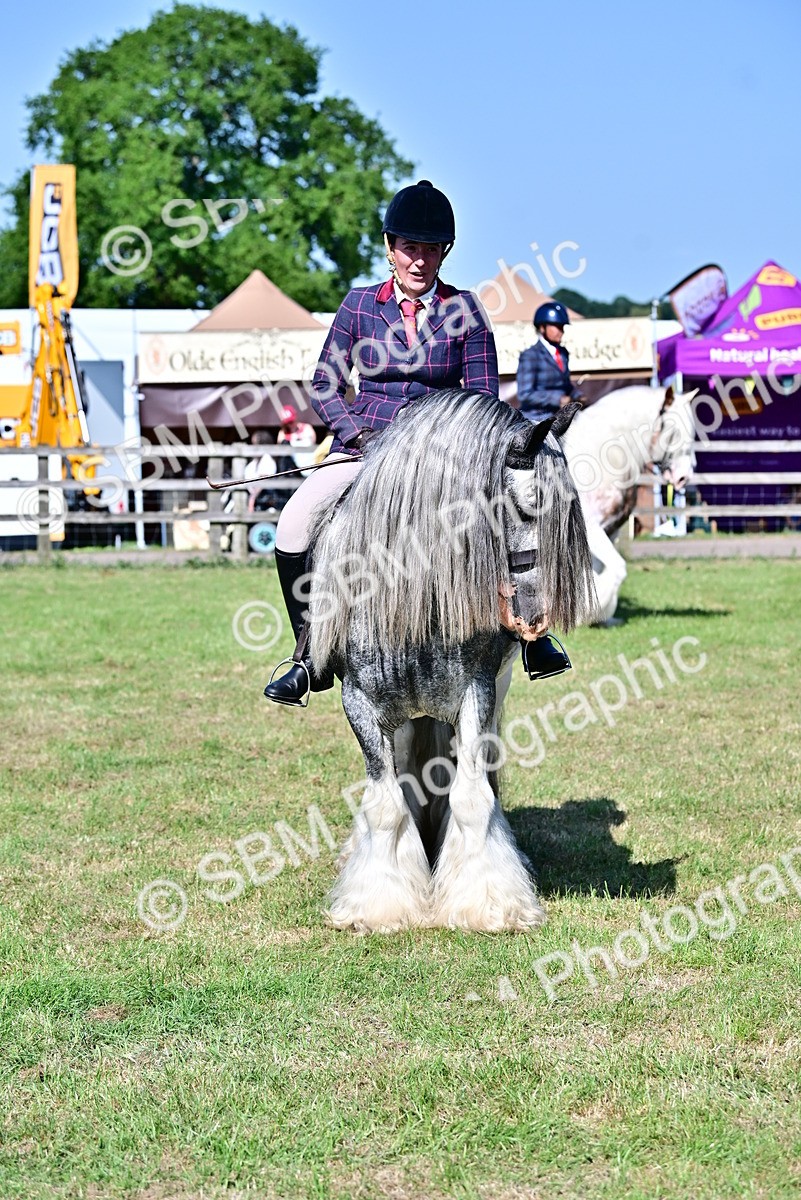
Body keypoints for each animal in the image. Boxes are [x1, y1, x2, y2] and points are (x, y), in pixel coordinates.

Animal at [306, 388, 596, 934]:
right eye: (527, 507)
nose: (534, 621)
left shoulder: (476, 694)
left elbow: (471, 796)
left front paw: (489, 903)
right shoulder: (360, 703)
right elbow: (384, 804)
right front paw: (378, 908)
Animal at [561, 384, 697, 623]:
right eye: (674, 432)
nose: (683, 478)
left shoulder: (609, 530)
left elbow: (599, 571)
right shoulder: (591, 529)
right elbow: (617, 568)